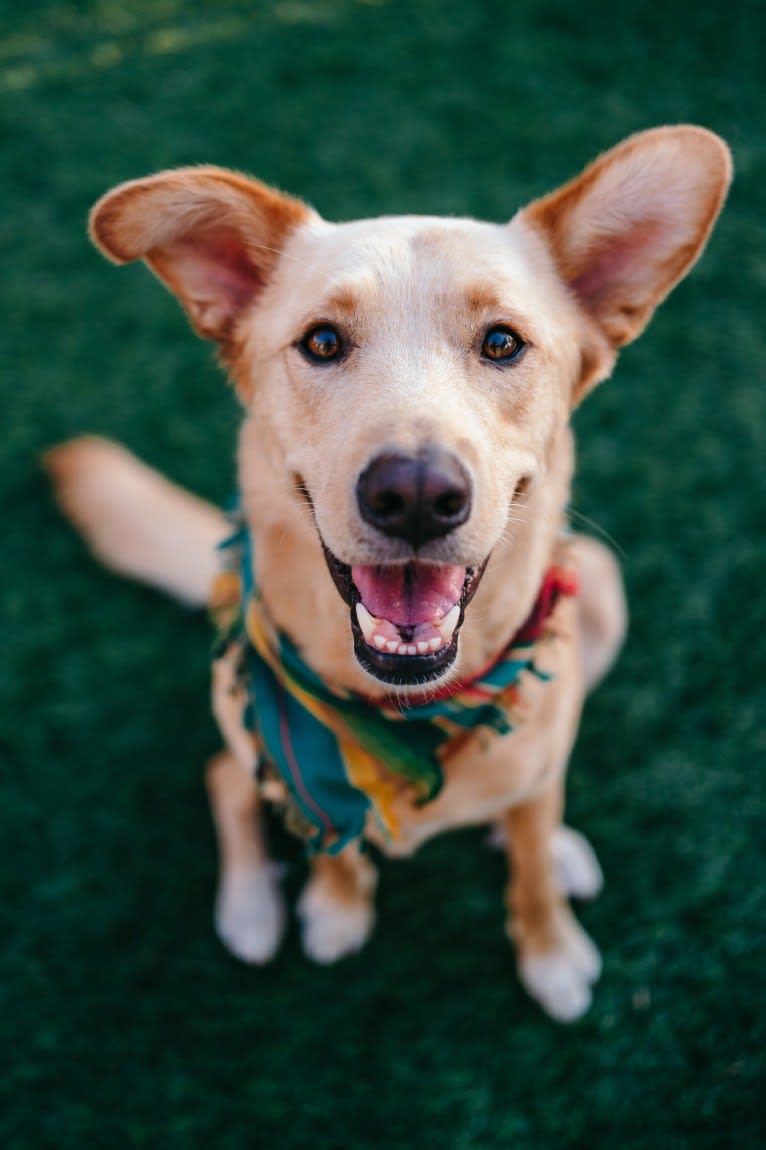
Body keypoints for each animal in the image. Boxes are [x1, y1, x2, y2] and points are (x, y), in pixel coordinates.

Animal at [46, 128, 726, 1025]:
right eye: (322, 342)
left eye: (502, 342)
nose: (415, 495)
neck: (408, 716)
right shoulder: (301, 769)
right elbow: (326, 840)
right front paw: (336, 907)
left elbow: (532, 864)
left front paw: (550, 949)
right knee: (225, 775)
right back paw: (250, 906)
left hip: (603, 592)